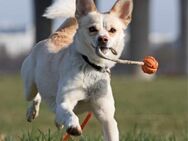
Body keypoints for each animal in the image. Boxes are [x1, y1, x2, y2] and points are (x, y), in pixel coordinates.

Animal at [21, 0, 133, 140]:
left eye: (112, 30)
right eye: (92, 29)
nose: (103, 38)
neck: (91, 66)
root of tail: (54, 36)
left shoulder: (107, 116)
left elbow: (111, 132)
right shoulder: (65, 102)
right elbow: (70, 114)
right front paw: (73, 127)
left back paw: (57, 121)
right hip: (29, 86)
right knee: (36, 95)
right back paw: (32, 112)